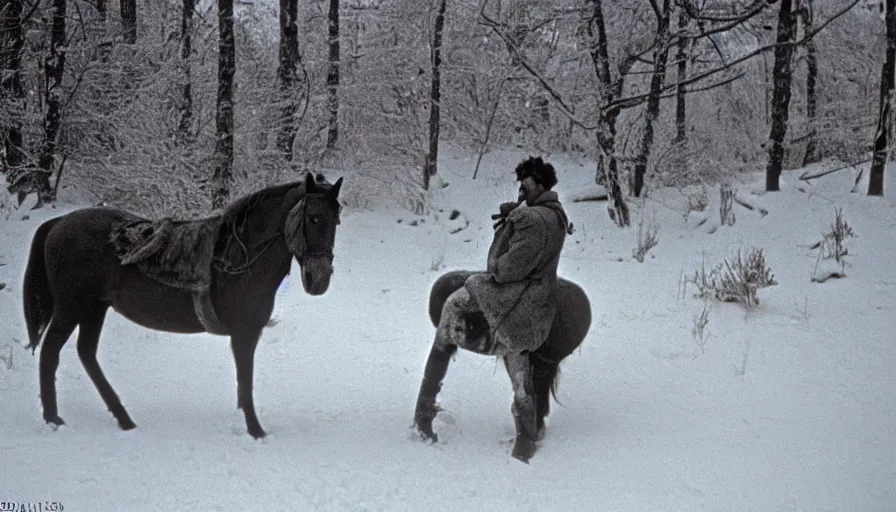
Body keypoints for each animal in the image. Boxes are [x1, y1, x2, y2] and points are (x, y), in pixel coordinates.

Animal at [21, 172, 344, 436]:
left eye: (336, 218)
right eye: (314, 218)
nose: (319, 279)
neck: (239, 257)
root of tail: (60, 223)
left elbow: (243, 383)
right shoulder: (244, 333)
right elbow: (246, 379)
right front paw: (255, 430)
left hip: (94, 308)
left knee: (86, 354)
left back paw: (123, 418)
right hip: (71, 307)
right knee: (50, 352)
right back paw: (53, 419)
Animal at [414, 270, 596, 462]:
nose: (485, 344)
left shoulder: (513, 339)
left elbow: (523, 396)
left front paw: (522, 454)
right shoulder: (449, 319)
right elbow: (435, 367)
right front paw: (424, 429)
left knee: (543, 369)